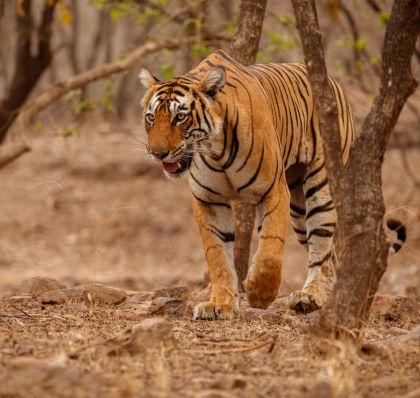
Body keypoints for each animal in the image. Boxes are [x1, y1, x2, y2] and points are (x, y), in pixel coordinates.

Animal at [139, 49, 406, 320]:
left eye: (180, 117)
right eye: (151, 118)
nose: (157, 153)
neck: (216, 152)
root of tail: (332, 82)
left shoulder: (274, 191)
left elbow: (270, 249)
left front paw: (259, 293)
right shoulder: (208, 200)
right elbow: (217, 254)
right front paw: (219, 304)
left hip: (321, 186)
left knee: (321, 248)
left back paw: (310, 297)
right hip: (298, 209)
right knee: (329, 255)